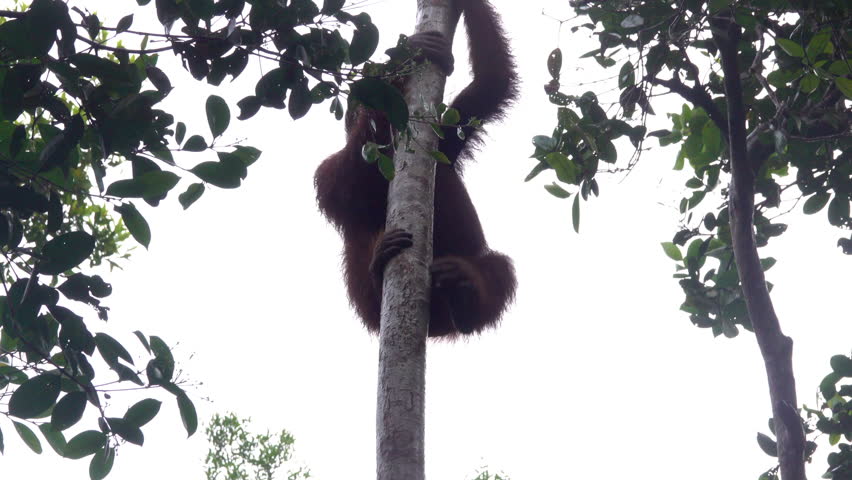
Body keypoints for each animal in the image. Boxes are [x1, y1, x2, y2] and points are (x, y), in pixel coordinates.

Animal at [314, 0, 518, 339]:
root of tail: (435, 327)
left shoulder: (447, 136)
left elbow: (490, 84)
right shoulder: (329, 172)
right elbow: (345, 187)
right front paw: (400, 63)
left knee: (497, 266)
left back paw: (465, 299)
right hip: (371, 311)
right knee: (364, 243)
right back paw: (378, 269)